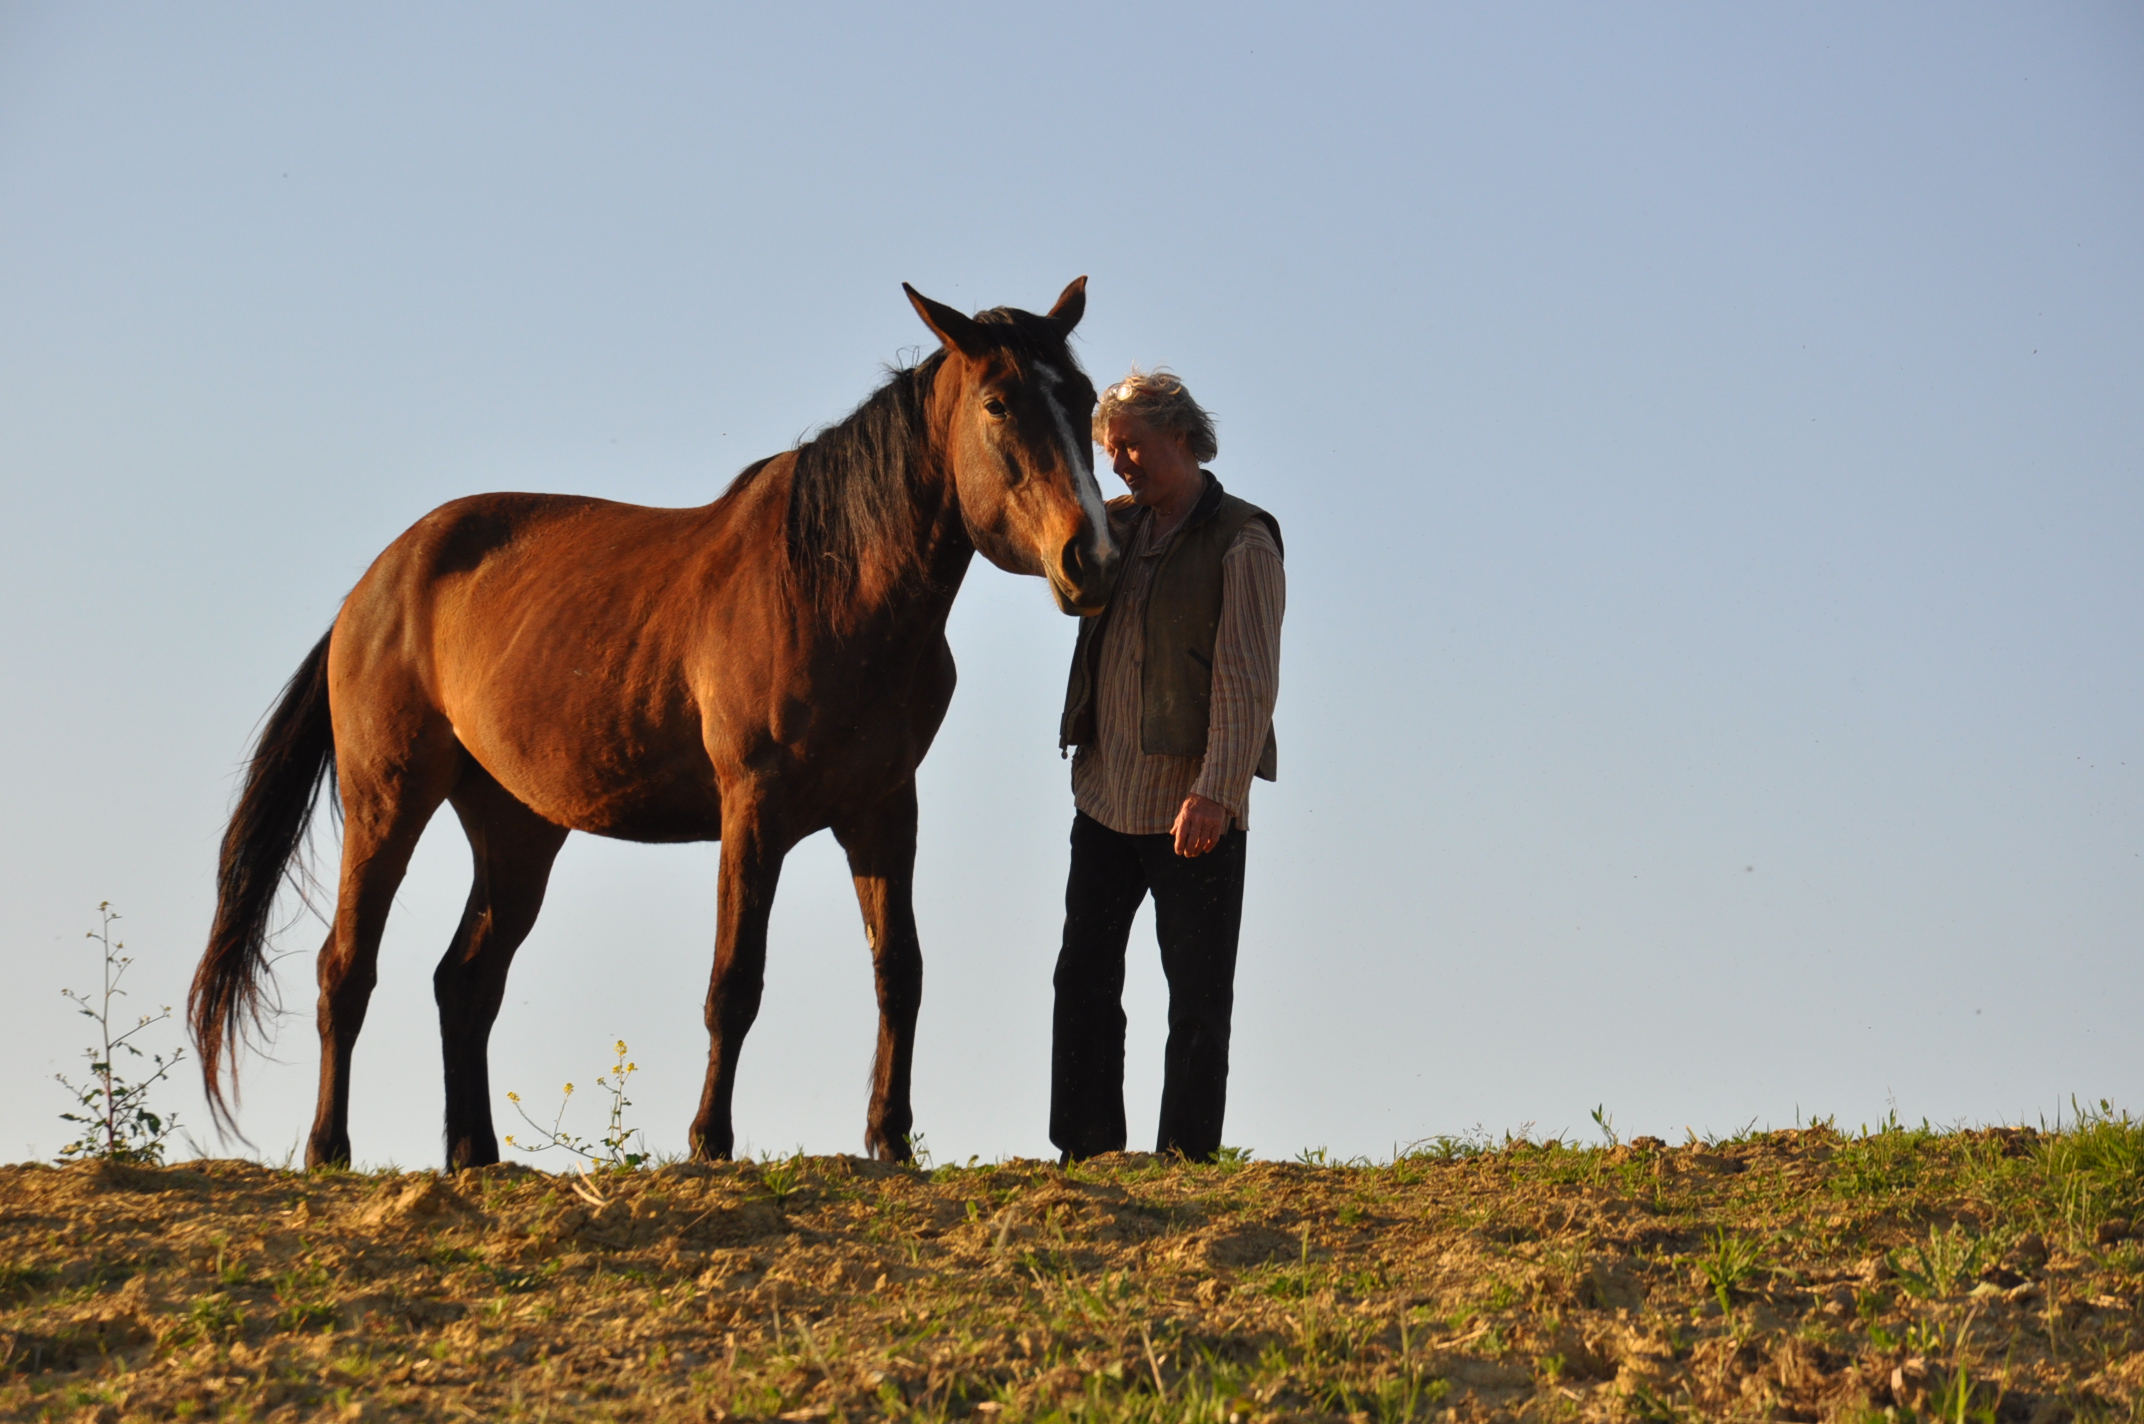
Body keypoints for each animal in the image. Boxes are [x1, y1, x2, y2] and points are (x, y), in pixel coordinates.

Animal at [188, 278, 1123, 1166]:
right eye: (998, 403)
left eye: (1082, 397)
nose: (1094, 558)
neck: (834, 588)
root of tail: (375, 584)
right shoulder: (754, 809)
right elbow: (734, 983)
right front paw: (710, 1141)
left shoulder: (885, 812)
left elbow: (900, 971)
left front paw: (890, 1140)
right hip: (389, 800)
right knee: (346, 969)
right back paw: (329, 1149)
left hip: (517, 828)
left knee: (465, 983)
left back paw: (475, 1155)